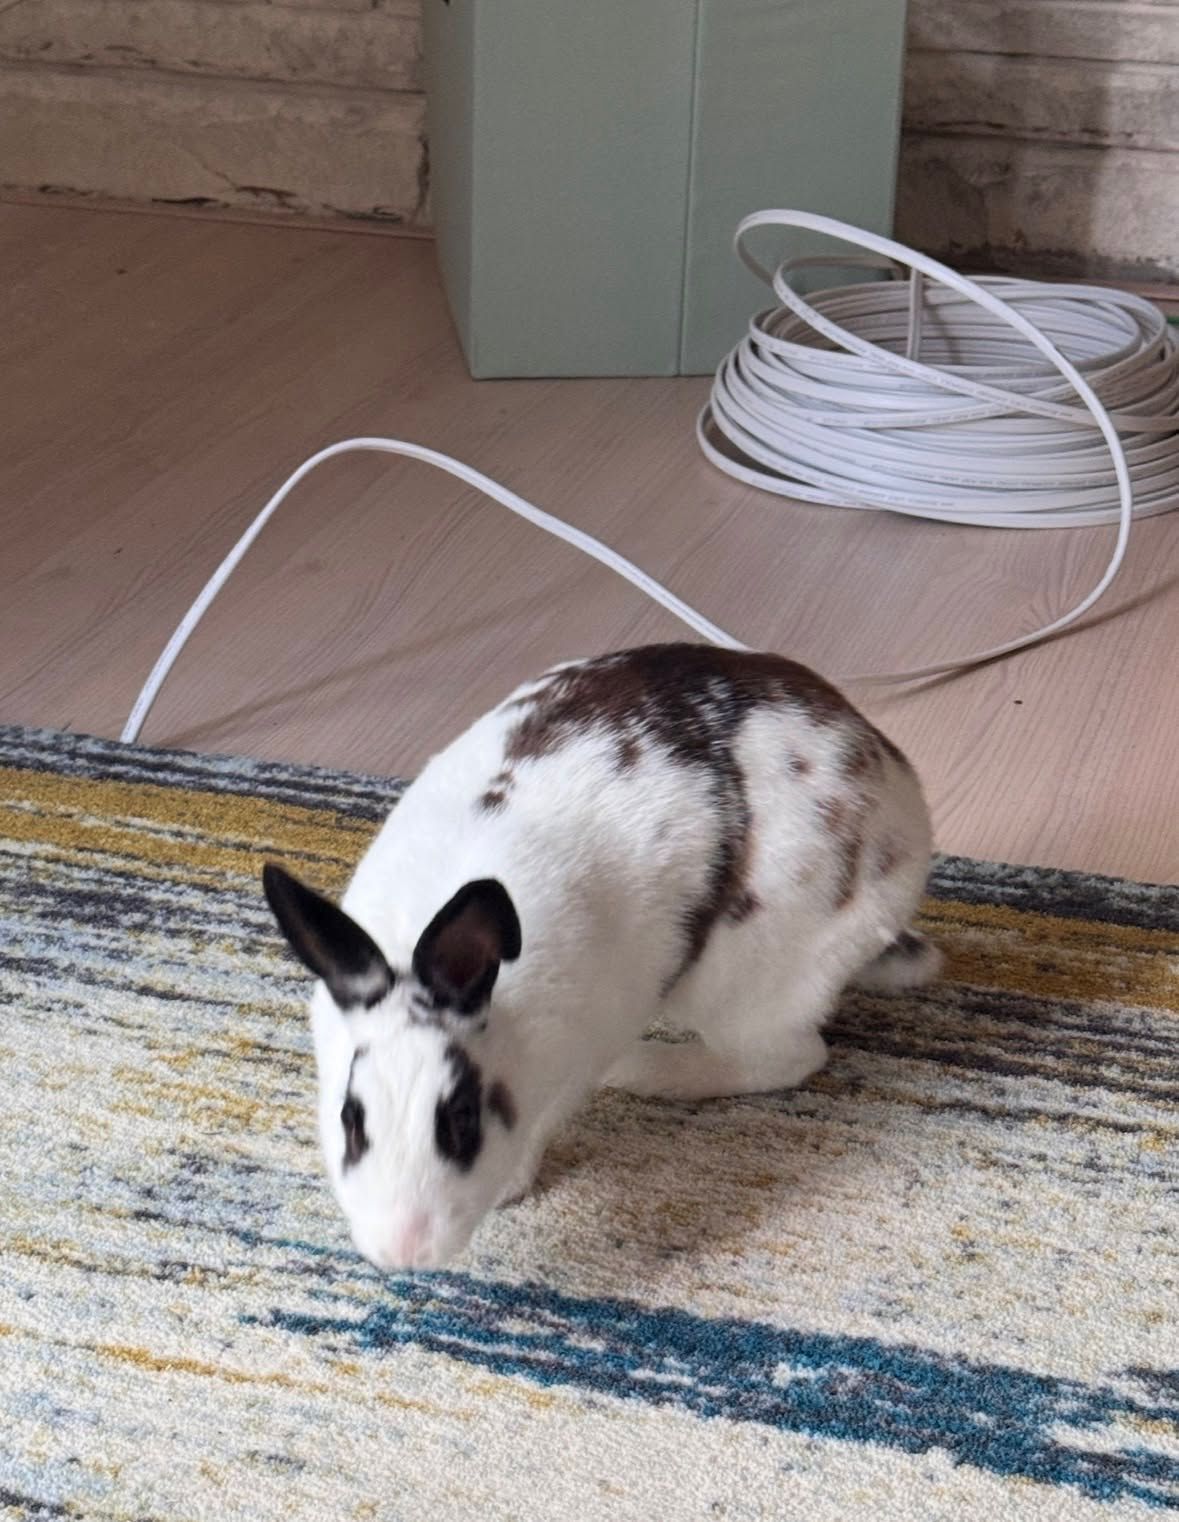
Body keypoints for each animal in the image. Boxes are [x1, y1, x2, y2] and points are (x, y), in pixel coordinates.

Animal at [263, 643, 940, 1272]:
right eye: (351, 1119)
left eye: (462, 1119)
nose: (403, 1251)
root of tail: (900, 798)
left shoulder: (577, 1057)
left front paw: (508, 1189)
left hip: (741, 981)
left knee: (787, 1057)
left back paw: (646, 1072)